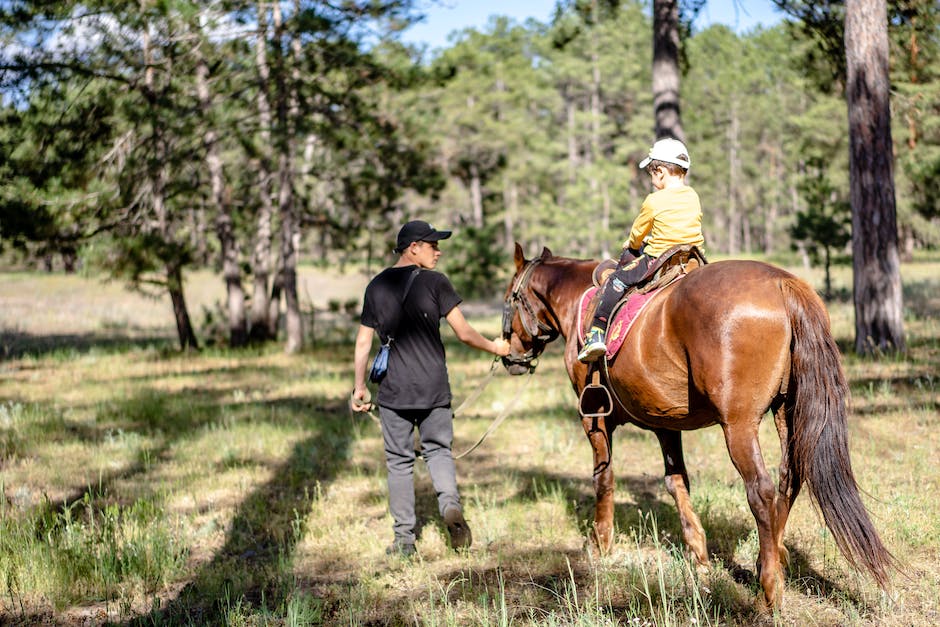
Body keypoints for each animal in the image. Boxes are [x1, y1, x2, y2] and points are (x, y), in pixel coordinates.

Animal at [504, 244, 892, 608]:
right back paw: (772, 560)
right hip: (787, 411)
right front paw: (698, 556)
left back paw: (769, 590)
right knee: (790, 478)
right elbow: (677, 483)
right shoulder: (663, 422)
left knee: (762, 490)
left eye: (510, 297)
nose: (511, 358)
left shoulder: (594, 419)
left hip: (739, 425)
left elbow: (604, 479)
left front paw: (602, 543)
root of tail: (784, 284)